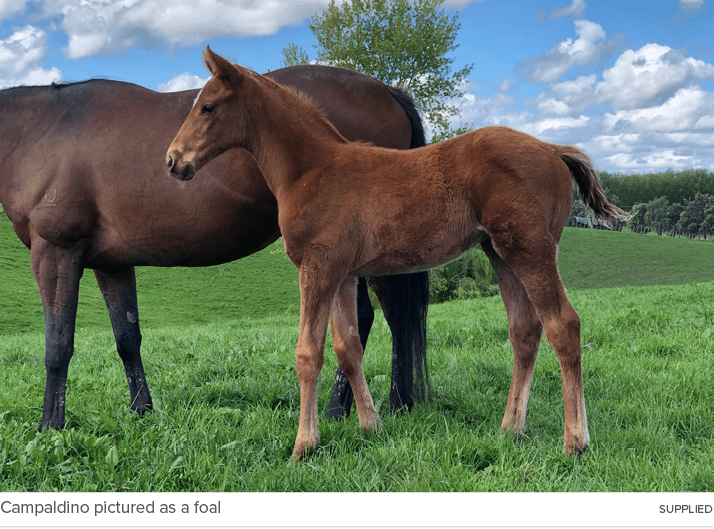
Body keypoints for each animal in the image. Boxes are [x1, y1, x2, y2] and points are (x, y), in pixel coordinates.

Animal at [0, 63, 430, 433]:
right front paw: (142, 412)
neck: (40, 131)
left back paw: (350, 407)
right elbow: (127, 338)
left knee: (378, 317)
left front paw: (50, 426)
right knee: (385, 317)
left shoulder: (55, 252)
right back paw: (386, 404)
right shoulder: (112, 264)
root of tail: (387, 91)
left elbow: (58, 344)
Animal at [167, 47, 631, 460]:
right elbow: (348, 348)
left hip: (531, 249)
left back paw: (575, 442)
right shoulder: (343, 274)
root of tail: (552, 150)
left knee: (563, 326)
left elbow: (308, 353)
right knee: (524, 332)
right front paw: (370, 426)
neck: (312, 170)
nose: (173, 161)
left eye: (208, 106)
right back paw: (510, 429)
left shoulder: (317, 269)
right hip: (500, 254)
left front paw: (304, 446)